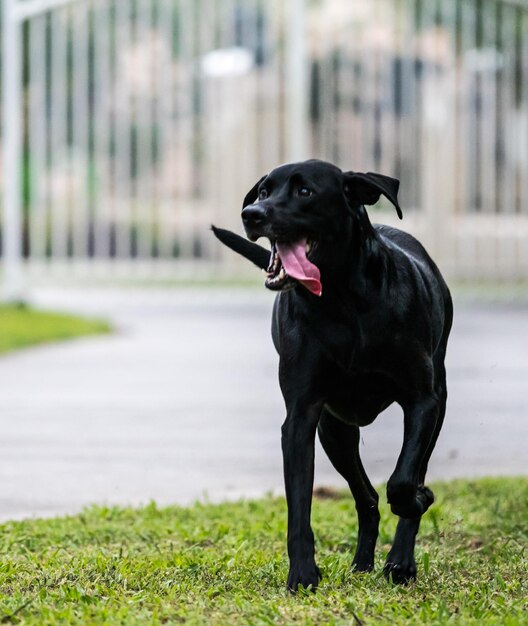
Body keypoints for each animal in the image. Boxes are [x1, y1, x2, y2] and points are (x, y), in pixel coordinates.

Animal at [212, 157, 452, 588]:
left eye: (305, 191)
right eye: (263, 191)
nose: (251, 214)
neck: (343, 300)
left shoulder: (423, 402)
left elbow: (403, 482)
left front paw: (418, 502)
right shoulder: (302, 417)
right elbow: (299, 505)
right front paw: (303, 575)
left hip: (434, 410)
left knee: (407, 476)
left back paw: (400, 562)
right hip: (335, 431)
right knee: (367, 498)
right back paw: (362, 562)